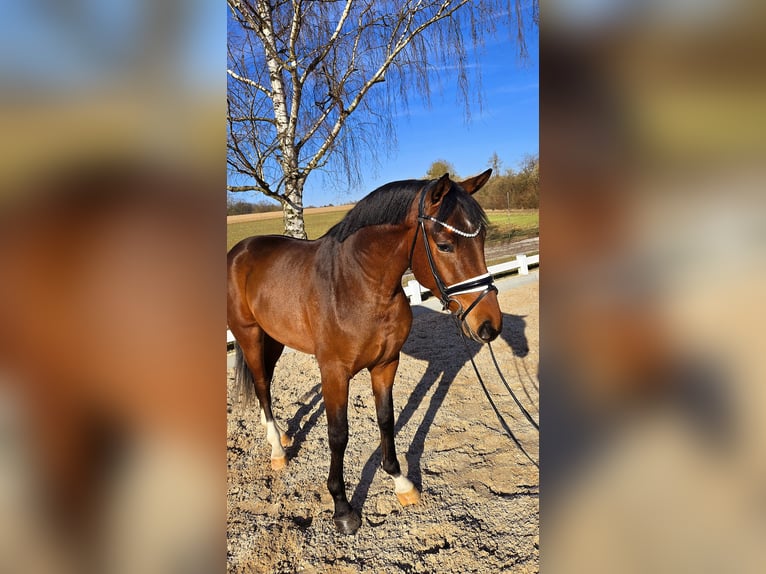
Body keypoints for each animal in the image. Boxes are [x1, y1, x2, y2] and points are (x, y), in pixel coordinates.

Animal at [228, 170, 504, 536]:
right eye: (445, 245)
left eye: (483, 237)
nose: (489, 324)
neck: (358, 284)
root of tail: (240, 250)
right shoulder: (334, 372)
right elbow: (338, 435)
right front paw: (343, 508)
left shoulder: (386, 364)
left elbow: (386, 420)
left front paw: (402, 483)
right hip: (249, 335)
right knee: (260, 385)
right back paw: (277, 450)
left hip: (273, 338)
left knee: (267, 386)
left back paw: (282, 435)